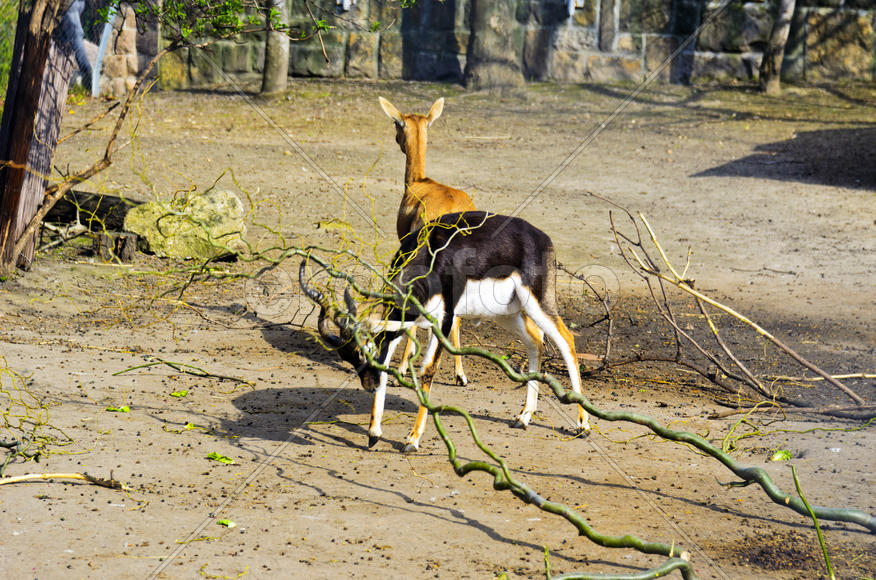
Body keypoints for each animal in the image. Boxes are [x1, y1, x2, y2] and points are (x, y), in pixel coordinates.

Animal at [300, 211, 591, 452]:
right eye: (349, 358)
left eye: (365, 352)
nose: (369, 385)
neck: (431, 258)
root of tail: (541, 237)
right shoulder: (401, 323)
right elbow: (390, 361)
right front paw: (374, 433)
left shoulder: (445, 320)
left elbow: (427, 370)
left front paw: (412, 440)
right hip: (506, 312)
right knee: (535, 342)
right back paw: (524, 417)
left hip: (537, 302)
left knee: (566, 340)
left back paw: (583, 425)